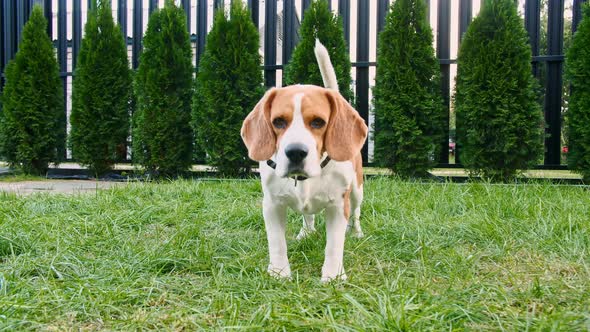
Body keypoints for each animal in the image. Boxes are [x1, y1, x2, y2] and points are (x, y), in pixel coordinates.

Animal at [243, 40, 368, 282]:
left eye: (318, 122)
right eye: (278, 122)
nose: (295, 152)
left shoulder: (339, 206)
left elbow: (334, 245)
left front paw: (333, 276)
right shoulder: (271, 205)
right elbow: (277, 243)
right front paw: (279, 273)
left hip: (357, 191)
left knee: (356, 213)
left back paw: (356, 232)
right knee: (307, 216)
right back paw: (307, 232)